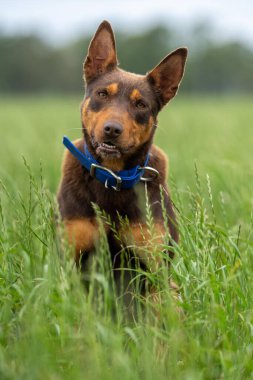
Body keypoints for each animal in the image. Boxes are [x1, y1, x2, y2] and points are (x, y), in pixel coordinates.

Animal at [57, 19, 187, 294]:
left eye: (141, 105)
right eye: (102, 94)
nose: (112, 130)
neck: (112, 175)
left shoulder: (152, 266)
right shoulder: (73, 257)